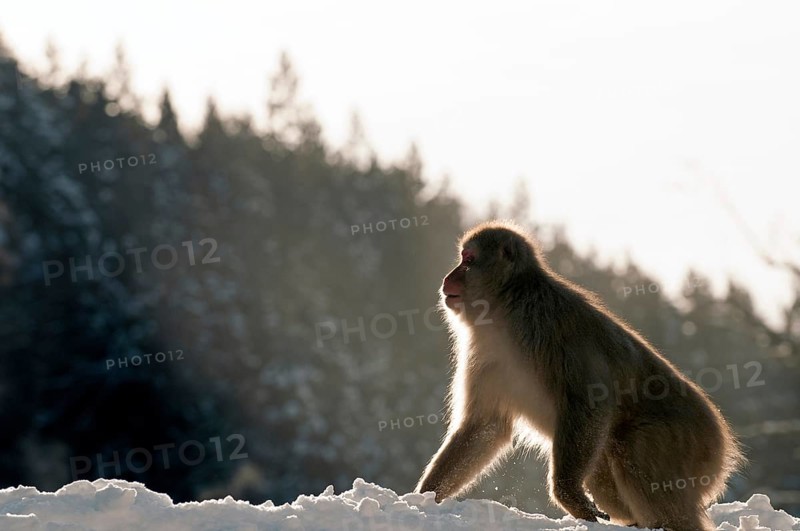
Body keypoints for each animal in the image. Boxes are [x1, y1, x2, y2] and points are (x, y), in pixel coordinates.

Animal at [414, 220, 743, 531]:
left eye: (468, 260)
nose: (448, 278)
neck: (506, 309)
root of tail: (721, 444)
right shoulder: (485, 354)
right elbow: (485, 427)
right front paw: (424, 498)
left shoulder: (548, 330)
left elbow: (590, 402)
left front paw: (568, 495)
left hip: (683, 440)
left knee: (634, 455)